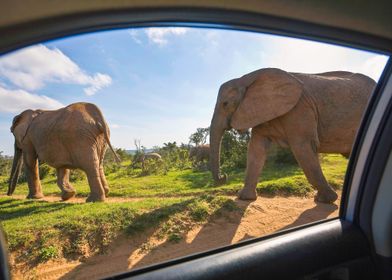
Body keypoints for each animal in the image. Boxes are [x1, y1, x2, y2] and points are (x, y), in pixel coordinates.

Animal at [210, 68, 376, 203]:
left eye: (225, 104)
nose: (224, 176)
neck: (246, 78)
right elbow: (256, 149)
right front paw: (244, 198)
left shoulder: (299, 109)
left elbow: (302, 148)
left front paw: (326, 200)